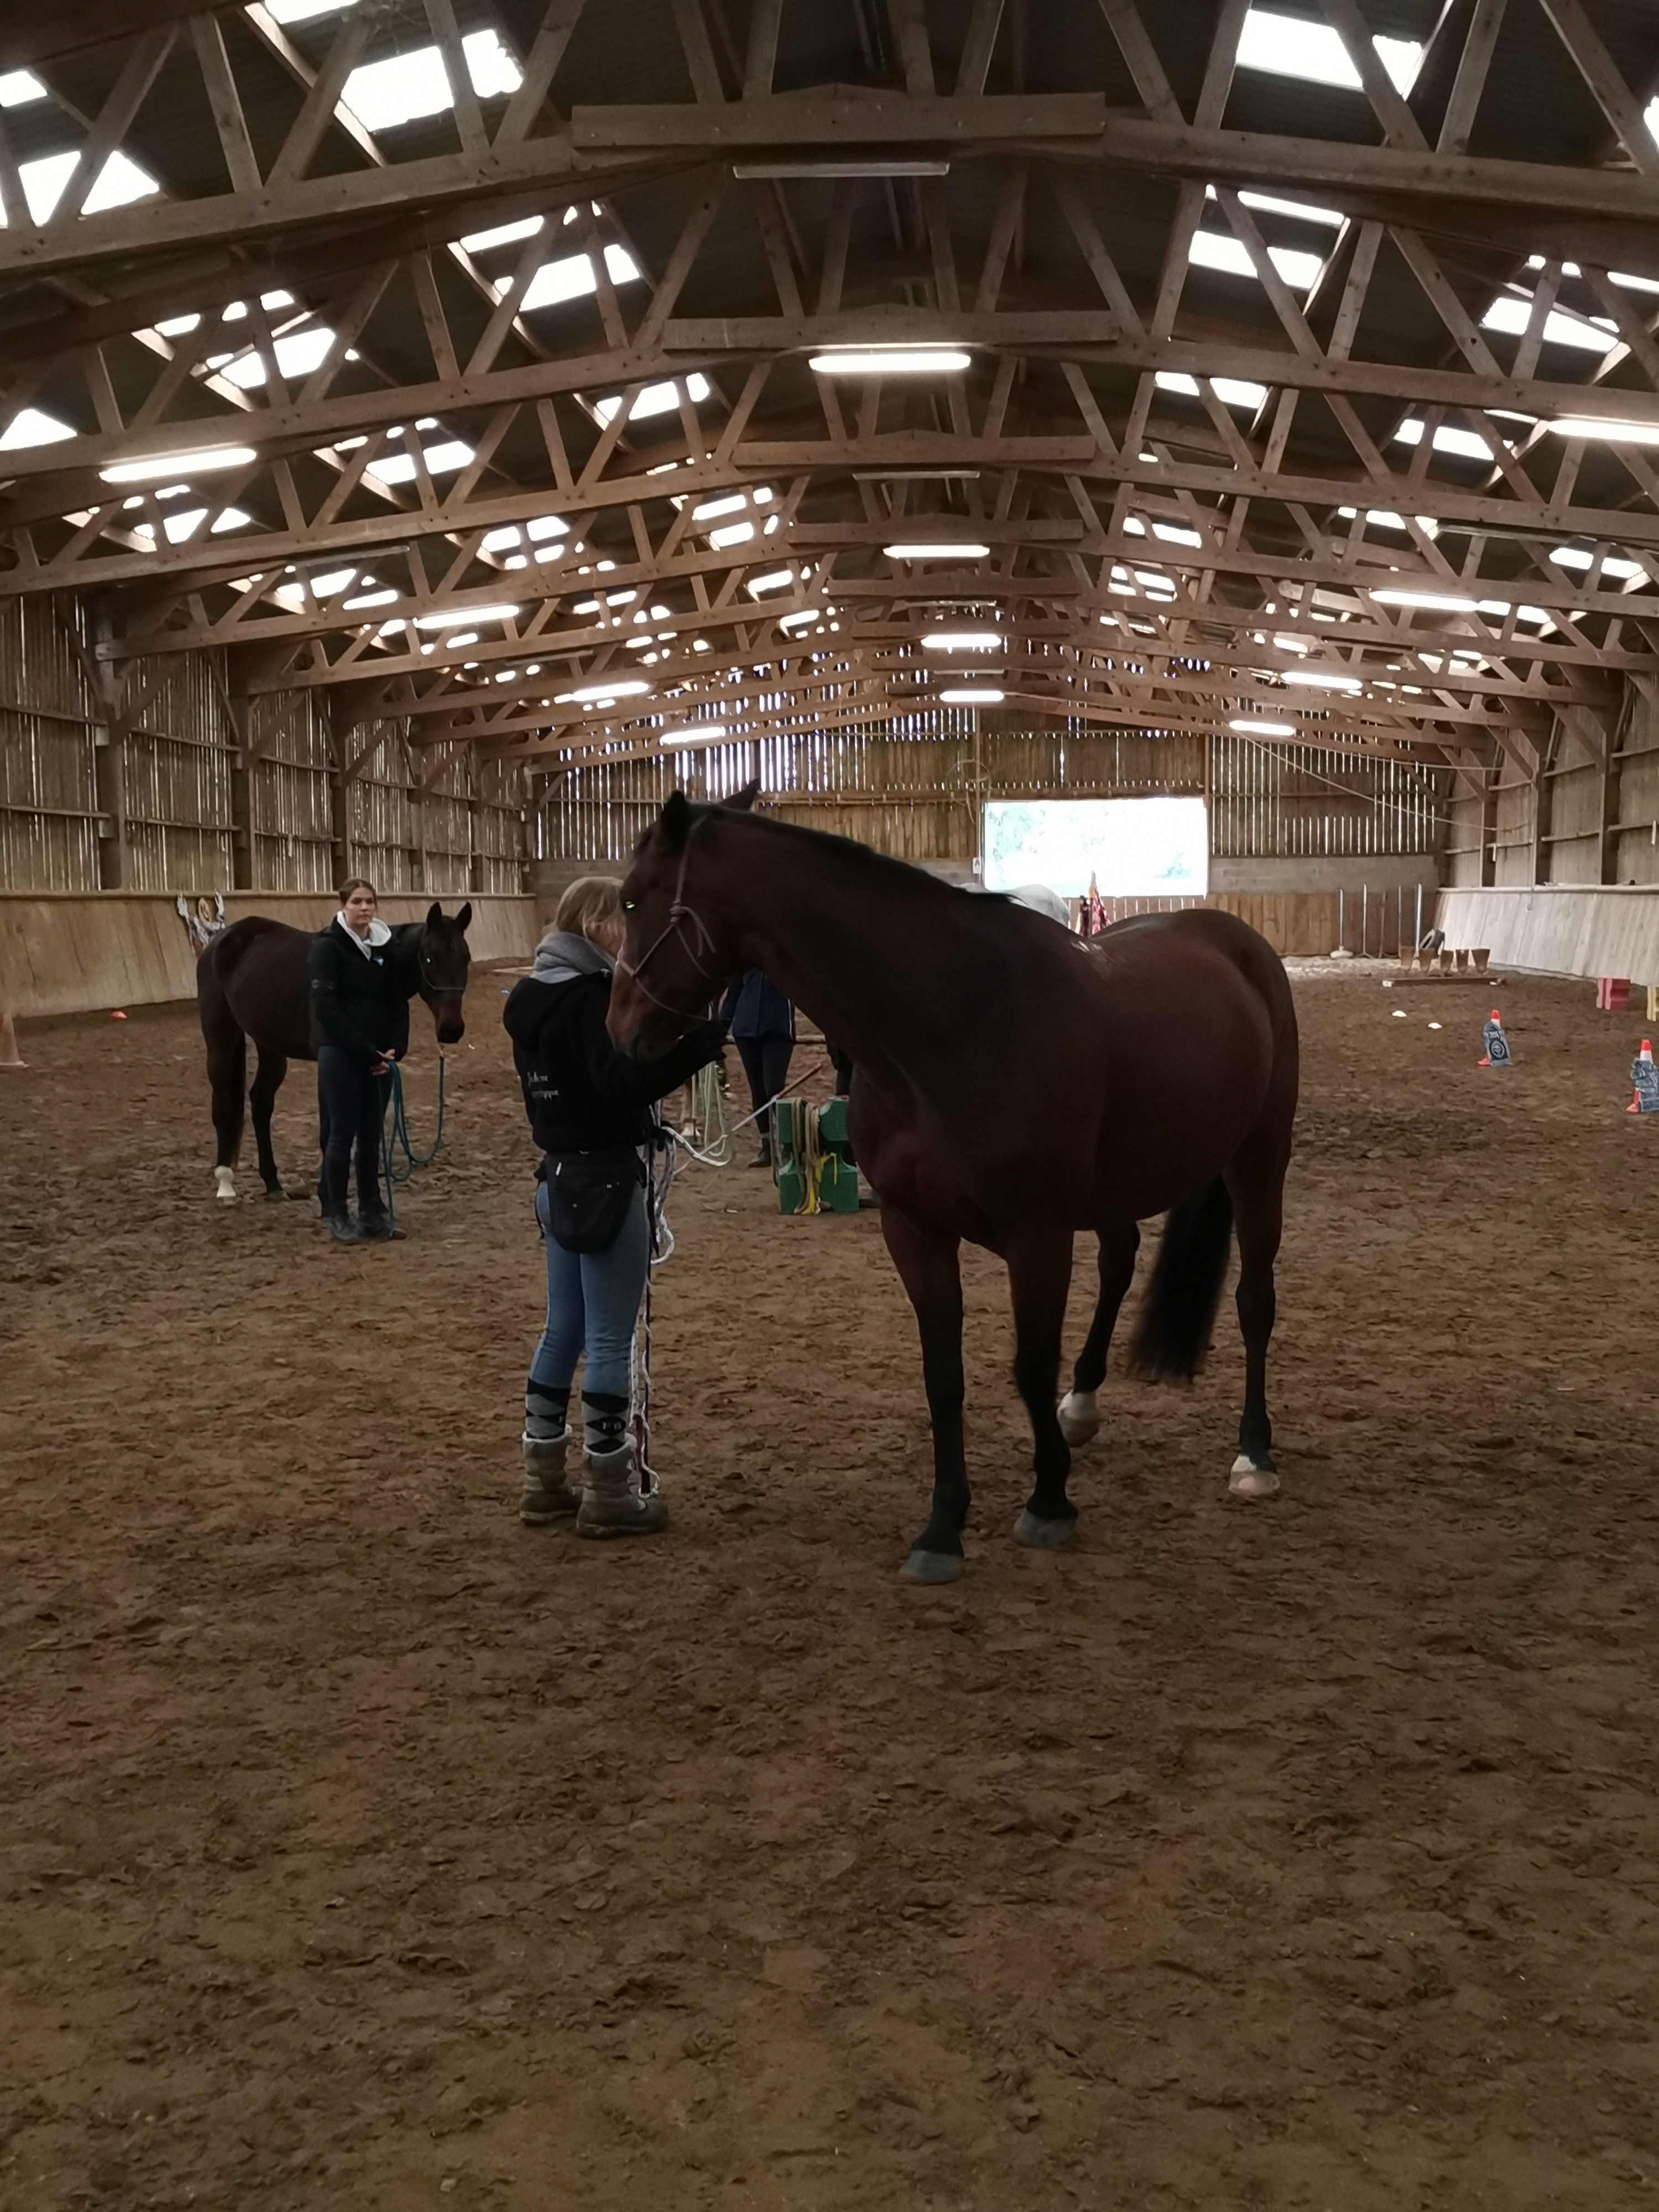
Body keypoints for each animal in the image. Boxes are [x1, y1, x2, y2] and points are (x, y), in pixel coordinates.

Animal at [197, 903, 472, 1203]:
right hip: (221, 1039)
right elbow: (331, 1131)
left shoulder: (379, 1063)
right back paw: (225, 1183)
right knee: (223, 1105)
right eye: (430, 958)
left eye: (466, 959)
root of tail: (217, 943)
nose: (451, 1029)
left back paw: (273, 1184)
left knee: (261, 1103)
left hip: (269, 1045)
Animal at [607, 785, 1298, 1584]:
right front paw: (943, 1526)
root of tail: (1237, 942)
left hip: (1258, 1159)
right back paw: (1083, 1405)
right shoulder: (914, 1229)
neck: (951, 1025)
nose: (618, 1033)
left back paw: (1254, 1454)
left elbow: (1030, 1365)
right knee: (1121, 1263)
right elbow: (944, 1376)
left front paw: (1048, 1500)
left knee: (1254, 1300)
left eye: (632, 899)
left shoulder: (1037, 1237)